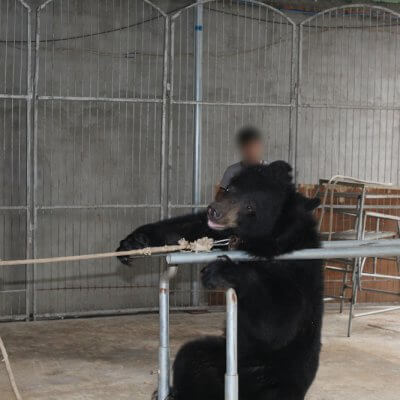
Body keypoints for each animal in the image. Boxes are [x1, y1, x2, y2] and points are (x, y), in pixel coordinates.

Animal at [117, 162, 324, 400]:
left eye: (250, 205)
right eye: (230, 189)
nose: (214, 210)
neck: (261, 239)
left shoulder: (296, 268)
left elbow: (279, 323)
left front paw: (222, 272)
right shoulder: (221, 235)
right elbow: (191, 228)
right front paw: (135, 241)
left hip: (270, 376)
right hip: (223, 355)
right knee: (192, 356)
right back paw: (174, 392)